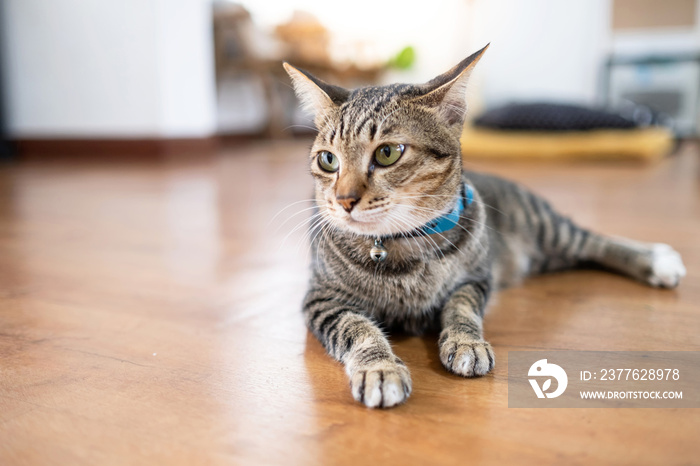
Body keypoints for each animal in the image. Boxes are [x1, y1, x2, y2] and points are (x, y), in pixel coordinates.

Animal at [282, 43, 688, 408]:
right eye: (328, 160)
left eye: (386, 153)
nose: (344, 200)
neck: (404, 243)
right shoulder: (322, 298)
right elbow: (360, 330)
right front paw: (379, 368)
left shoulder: (477, 278)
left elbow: (461, 307)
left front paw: (466, 341)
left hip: (548, 230)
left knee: (593, 240)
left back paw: (656, 260)